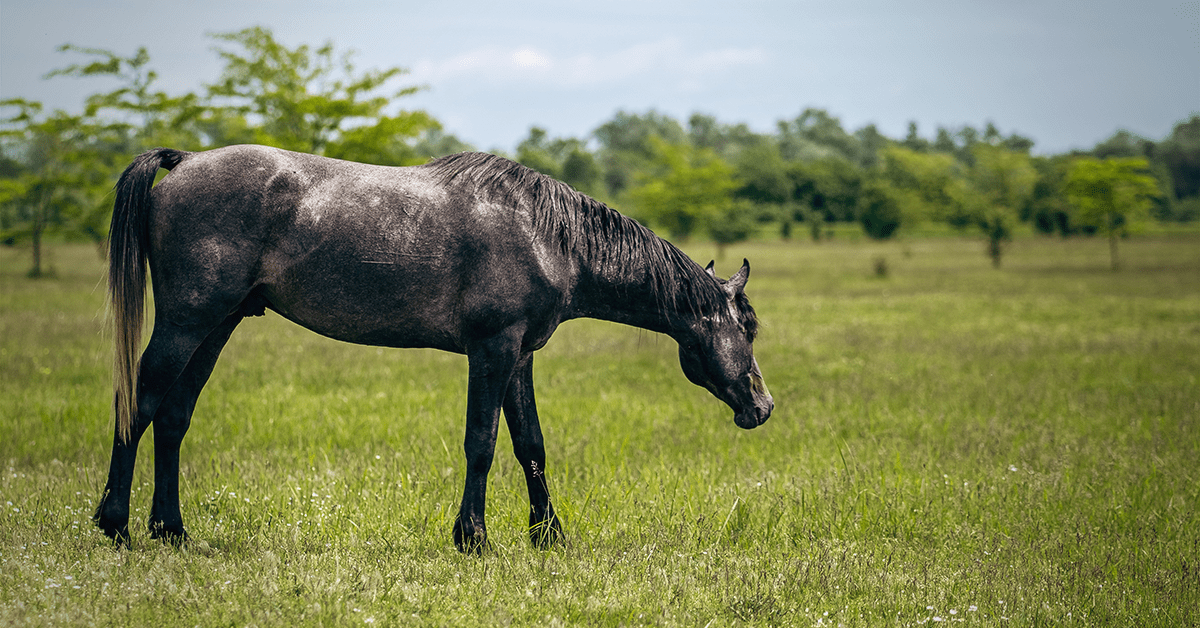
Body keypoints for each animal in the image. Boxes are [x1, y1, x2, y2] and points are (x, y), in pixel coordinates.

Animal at [91, 145, 768, 552]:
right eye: (750, 328)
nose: (761, 407)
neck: (547, 237)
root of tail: (183, 163)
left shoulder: (520, 356)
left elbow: (531, 446)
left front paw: (548, 537)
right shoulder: (492, 351)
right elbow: (482, 443)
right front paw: (473, 538)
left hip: (218, 325)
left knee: (174, 417)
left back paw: (171, 530)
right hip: (186, 322)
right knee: (139, 404)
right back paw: (115, 524)